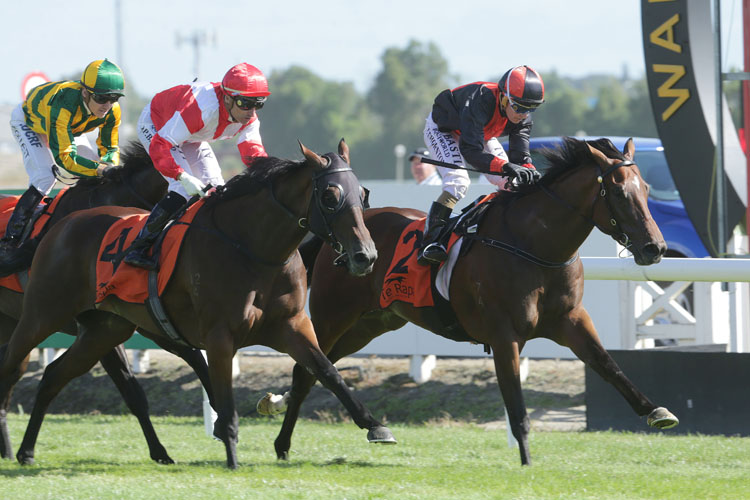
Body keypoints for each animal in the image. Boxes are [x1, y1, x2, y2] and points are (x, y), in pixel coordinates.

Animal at [0, 140, 396, 468]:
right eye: (330, 195)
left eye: (363, 193)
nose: (365, 255)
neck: (253, 249)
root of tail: (61, 226)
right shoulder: (217, 335)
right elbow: (219, 391)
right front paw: (231, 454)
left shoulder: (292, 327)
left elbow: (326, 371)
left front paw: (375, 426)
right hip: (42, 315)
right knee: (12, 368)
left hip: (104, 330)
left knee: (53, 375)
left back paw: (26, 451)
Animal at [264, 137, 680, 464]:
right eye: (620, 193)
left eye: (646, 190)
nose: (655, 248)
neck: (533, 246)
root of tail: (339, 238)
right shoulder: (504, 334)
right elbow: (515, 399)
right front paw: (526, 460)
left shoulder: (571, 320)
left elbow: (607, 364)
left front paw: (656, 410)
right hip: (333, 316)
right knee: (309, 369)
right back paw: (285, 442)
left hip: (371, 323)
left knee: (317, 367)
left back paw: (291, 435)